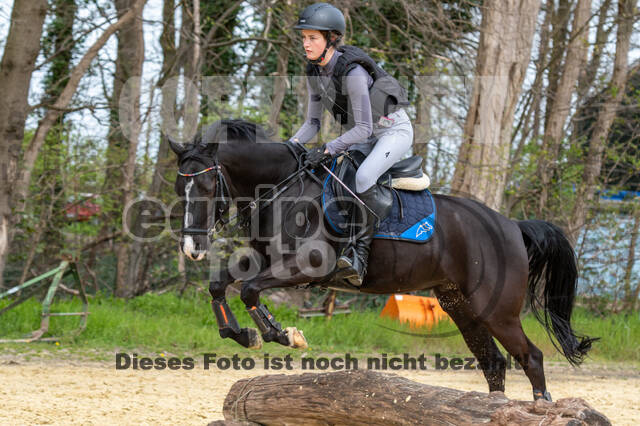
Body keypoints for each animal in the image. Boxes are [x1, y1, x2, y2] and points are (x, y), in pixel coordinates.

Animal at [168, 118, 596, 402]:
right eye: (178, 186)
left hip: (499, 311)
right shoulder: (264, 260)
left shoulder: (308, 265)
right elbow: (221, 285)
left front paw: (284, 334)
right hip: (461, 306)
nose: (192, 248)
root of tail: (511, 226)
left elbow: (250, 290)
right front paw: (244, 335)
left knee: (531, 358)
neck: (281, 188)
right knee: (493, 363)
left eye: (205, 184)